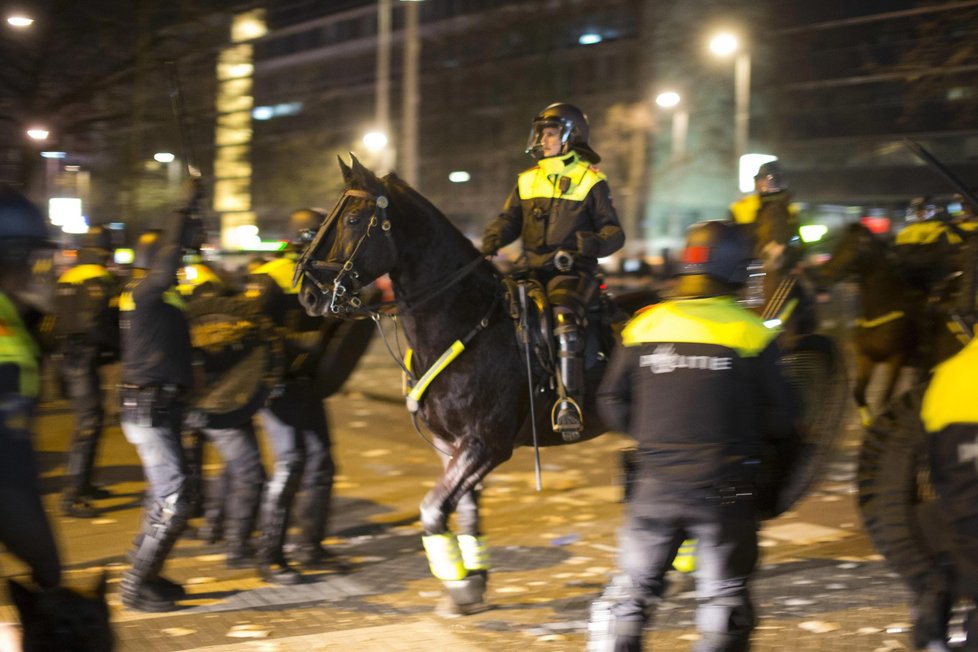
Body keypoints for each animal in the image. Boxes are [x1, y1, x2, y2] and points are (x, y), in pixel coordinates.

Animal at [296, 155, 648, 612]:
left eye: (354, 219)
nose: (307, 294)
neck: (467, 321)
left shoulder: (485, 444)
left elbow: (432, 509)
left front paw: (460, 582)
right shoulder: (451, 446)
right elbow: (464, 506)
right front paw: (472, 579)